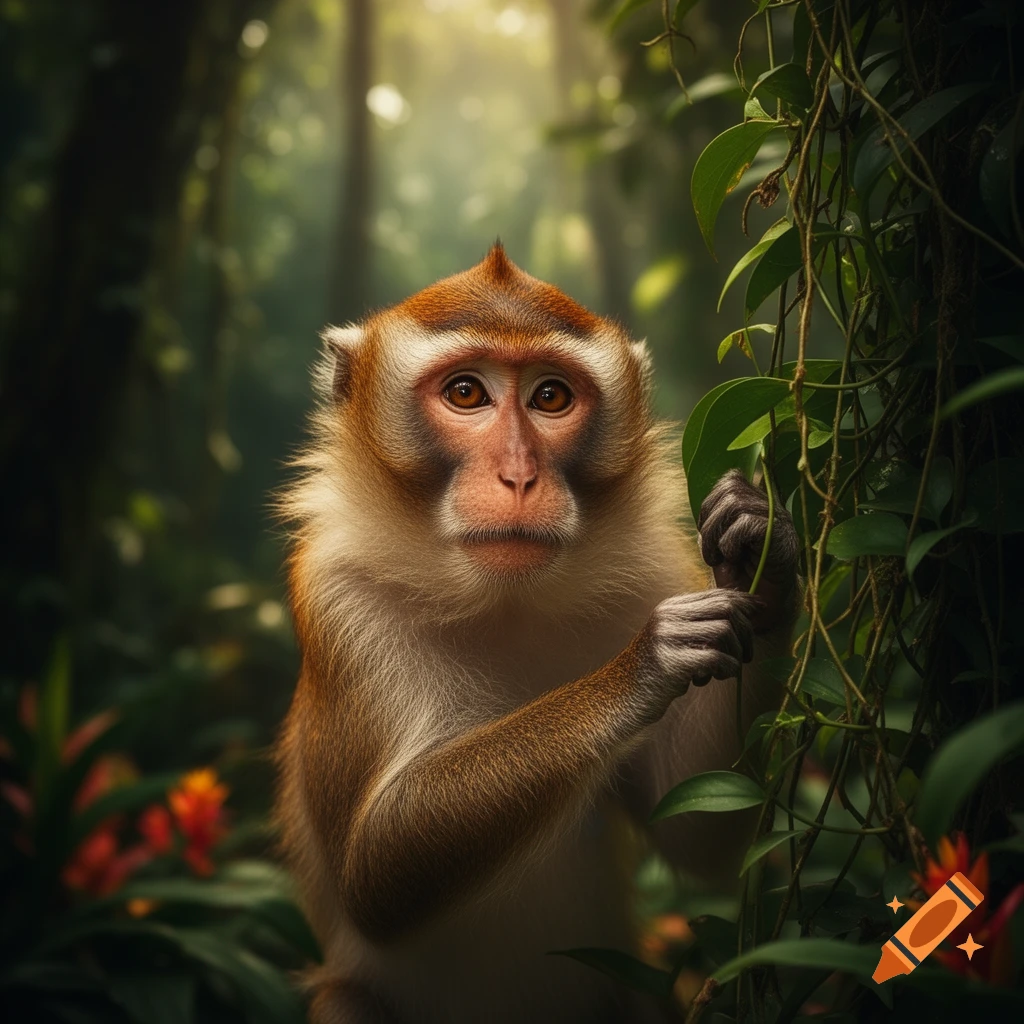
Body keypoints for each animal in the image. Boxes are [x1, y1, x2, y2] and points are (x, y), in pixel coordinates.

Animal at [275, 244, 799, 1024]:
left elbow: (695, 828)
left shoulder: (652, 568)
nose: (519, 476)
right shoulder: (339, 602)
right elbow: (373, 875)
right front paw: (642, 666)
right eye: (466, 393)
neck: (505, 604)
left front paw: (762, 562)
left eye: (551, 398)